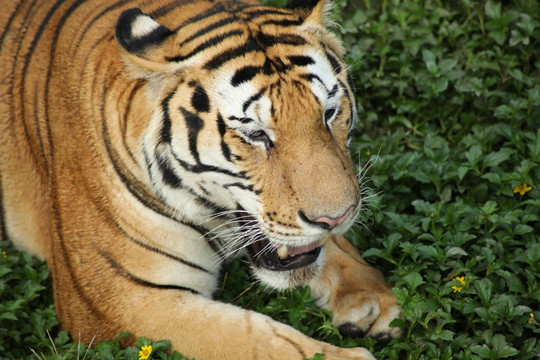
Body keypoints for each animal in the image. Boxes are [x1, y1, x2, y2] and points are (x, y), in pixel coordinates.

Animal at [1, 0, 400, 358]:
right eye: (256, 134)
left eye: (329, 113)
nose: (337, 217)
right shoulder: (121, 298)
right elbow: (254, 339)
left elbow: (333, 250)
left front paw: (370, 298)